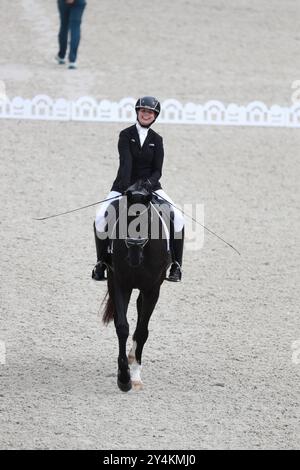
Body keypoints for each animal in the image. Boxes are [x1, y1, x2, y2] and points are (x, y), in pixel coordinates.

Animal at [101, 182, 171, 392]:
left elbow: (141, 332)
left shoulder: (152, 290)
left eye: (147, 219)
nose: (133, 255)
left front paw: (135, 377)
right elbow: (122, 327)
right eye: (126, 218)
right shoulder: (119, 284)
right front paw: (124, 378)